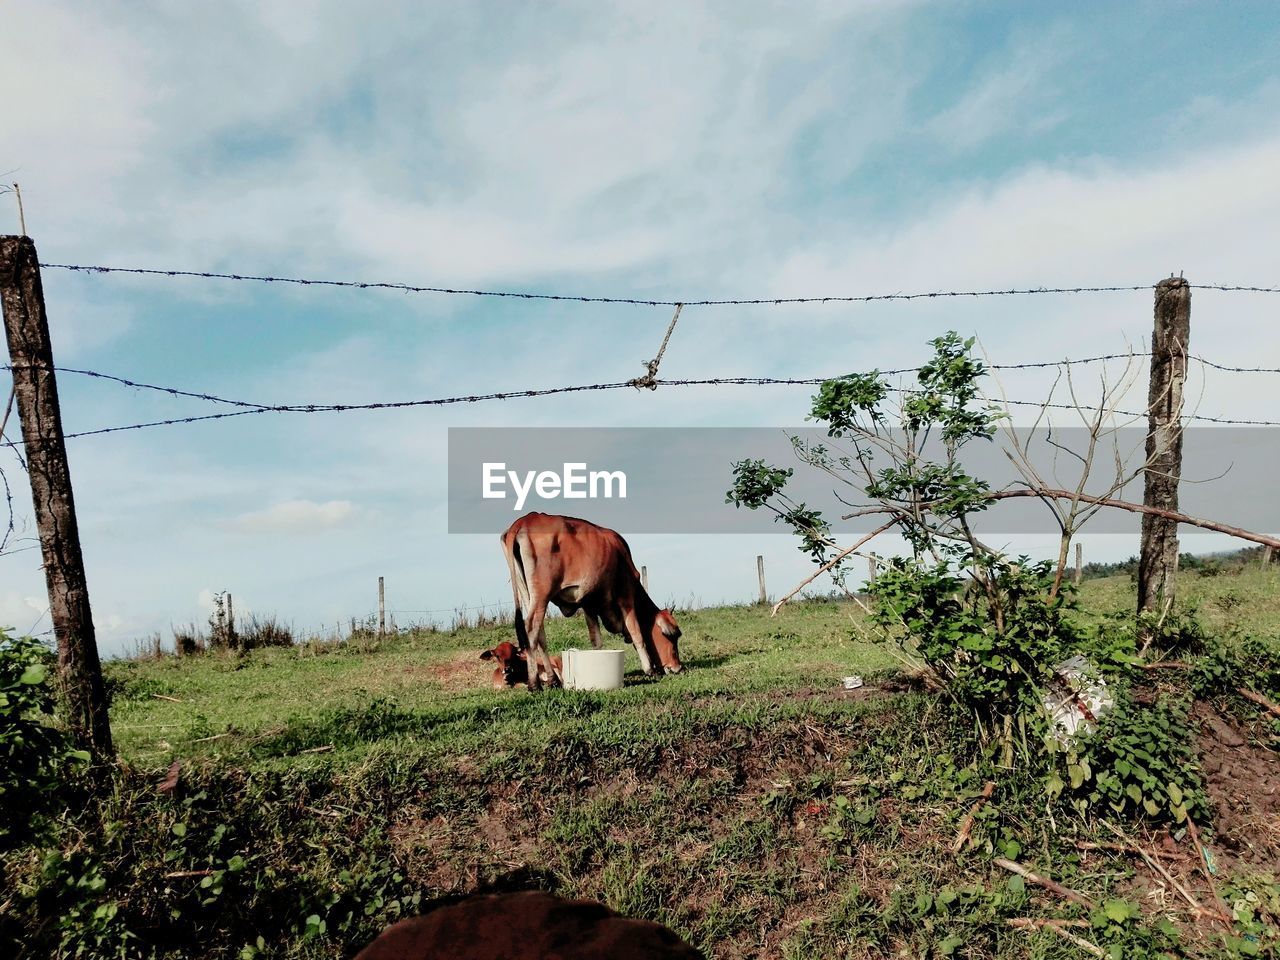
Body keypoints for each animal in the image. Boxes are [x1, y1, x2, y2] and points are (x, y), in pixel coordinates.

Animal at [499, 512, 686, 691]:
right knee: (531, 628)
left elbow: (596, 641)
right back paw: (534, 684)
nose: (677, 667)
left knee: (540, 634)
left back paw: (553, 681)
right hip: (542, 593)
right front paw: (649, 670)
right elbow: (636, 633)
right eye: (671, 635)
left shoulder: (588, 603)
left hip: (527, 593)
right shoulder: (626, 594)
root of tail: (523, 521)